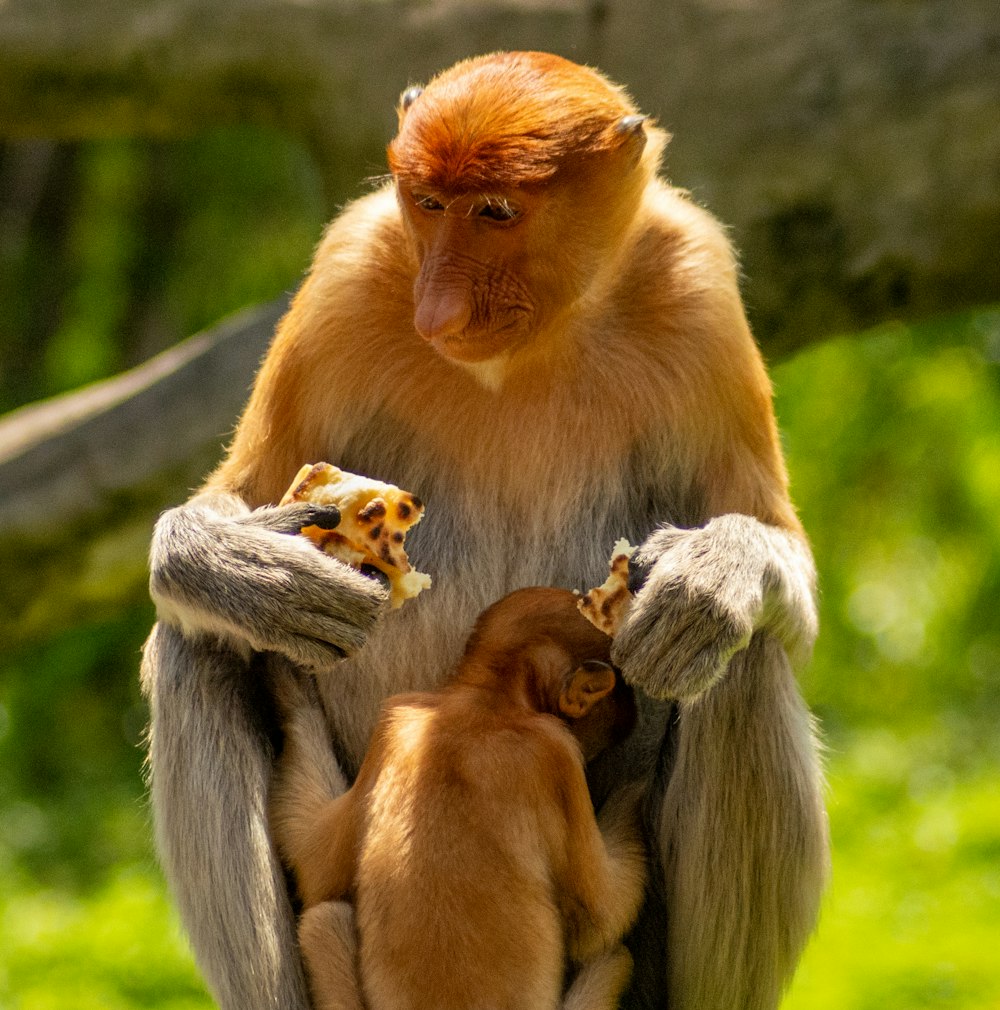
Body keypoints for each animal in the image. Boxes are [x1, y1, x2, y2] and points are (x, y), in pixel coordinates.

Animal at [268, 585, 650, 1010]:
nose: (630, 712)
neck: (486, 703)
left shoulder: (397, 718)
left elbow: (316, 866)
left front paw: (291, 688)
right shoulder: (555, 752)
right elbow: (599, 924)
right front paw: (638, 786)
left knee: (322, 920)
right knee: (614, 955)